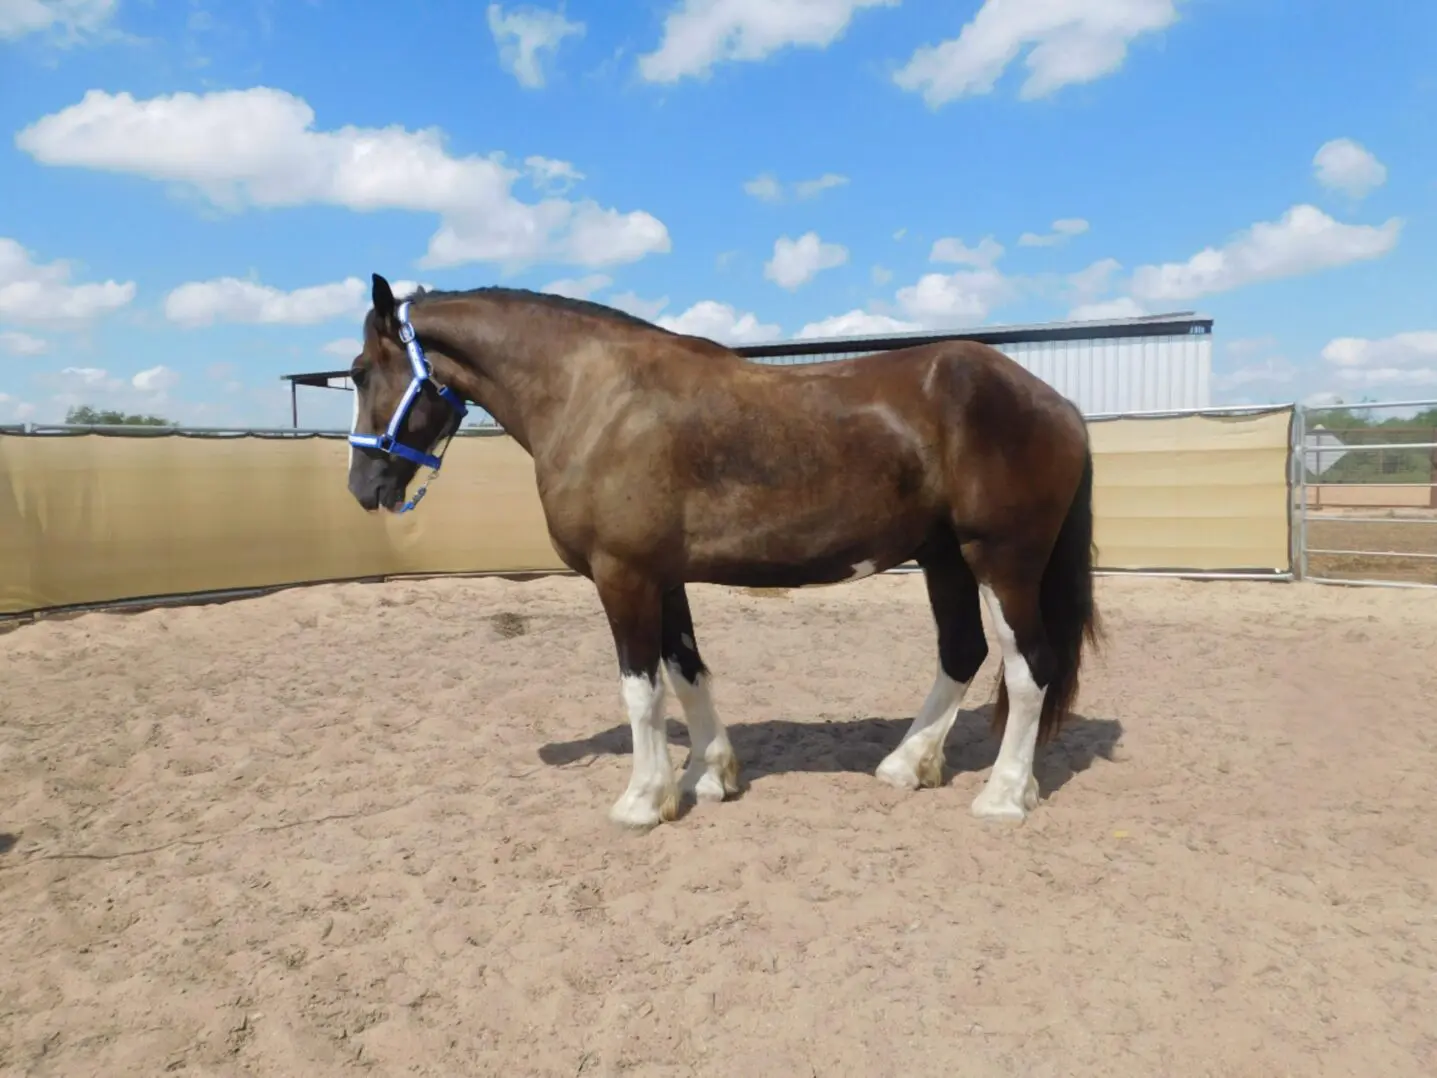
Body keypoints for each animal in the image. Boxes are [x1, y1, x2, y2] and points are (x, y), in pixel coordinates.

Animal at [346, 273, 1101, 830]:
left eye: (357, 371)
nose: (363, 486)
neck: (597, 397)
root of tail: (1055, 403)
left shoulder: (623, 576)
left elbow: (641, 689)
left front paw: (642, 800)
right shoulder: (663, 578)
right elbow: (686, 673)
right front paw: (707, 776)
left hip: (1001, 560)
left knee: (1029, 668)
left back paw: (1004, 795)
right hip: (944, 558)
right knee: (961, 652)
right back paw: (906, 764)